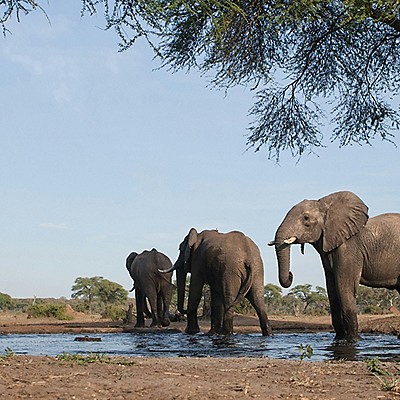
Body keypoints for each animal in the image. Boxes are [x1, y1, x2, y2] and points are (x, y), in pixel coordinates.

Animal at [268, 191, 400, 340]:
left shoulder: (349, 248)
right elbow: (331, 288)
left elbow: (344, 286)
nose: (291, 275)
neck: (325, 205)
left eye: (306, 218)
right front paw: (339, 339)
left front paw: (353, 340)